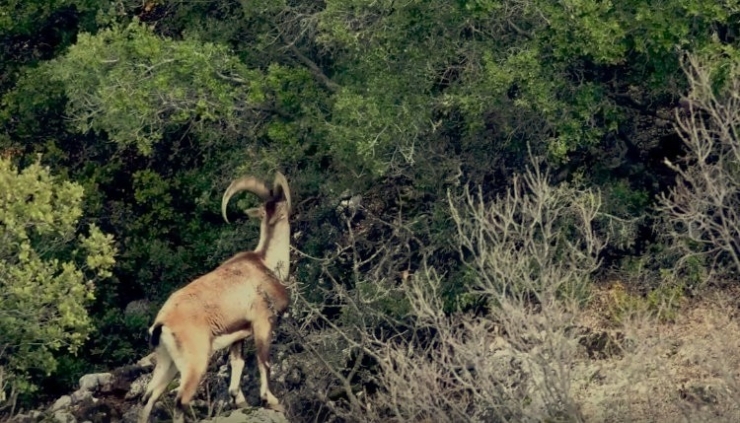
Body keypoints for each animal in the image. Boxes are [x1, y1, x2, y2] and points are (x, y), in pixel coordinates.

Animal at [139, 172, 292, 423]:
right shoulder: (262, 322)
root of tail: (161, 324)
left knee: (148, 397)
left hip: (166, 362)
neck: (266, 263)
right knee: (179, 400)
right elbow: (264, 361)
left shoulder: (238, 335)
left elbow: (238, 363)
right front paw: (271, 401)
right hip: (196, 361)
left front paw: (239, 401)